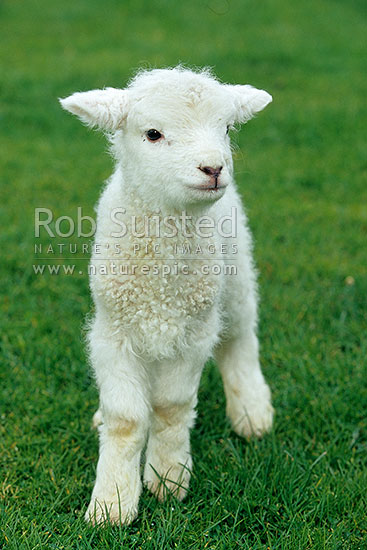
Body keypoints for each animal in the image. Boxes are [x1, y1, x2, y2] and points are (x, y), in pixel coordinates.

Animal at [59, 67, 274, 528]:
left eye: (226, 128)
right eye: (153, 134)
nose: (213, 167)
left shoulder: (193, 334)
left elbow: (170, 408)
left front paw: (167, 478)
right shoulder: (113, 332)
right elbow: (126, 420)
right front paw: (112, 504)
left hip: (234, 278)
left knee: (240, 337)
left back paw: (252, 413)